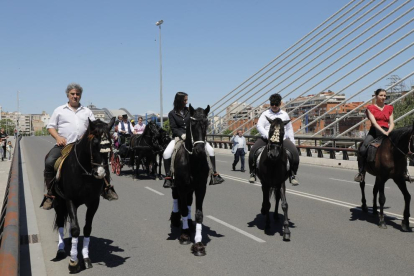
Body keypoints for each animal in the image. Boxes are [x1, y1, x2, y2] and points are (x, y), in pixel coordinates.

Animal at [53, 116, 116, 272]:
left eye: (110, 145)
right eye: (94, 144)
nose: (101, 173)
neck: (84, 172)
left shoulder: (93, 202)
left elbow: (87, 229)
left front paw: (86, 258)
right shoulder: (69, 200)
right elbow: (76, 229)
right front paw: (73, 262)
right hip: (58, 202)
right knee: (61, 222)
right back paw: (61, 250)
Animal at [171, 104, 210, 256]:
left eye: (207, 124)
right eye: (192, 124)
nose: (200, 150)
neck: (193, 161)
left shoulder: (200, 188)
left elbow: (198, 213)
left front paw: (198, 244)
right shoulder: (181, 187)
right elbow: (182, 209)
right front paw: (185, 235)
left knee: (188, 203)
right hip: (175, 186)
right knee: (177, 200)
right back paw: (176, 219)